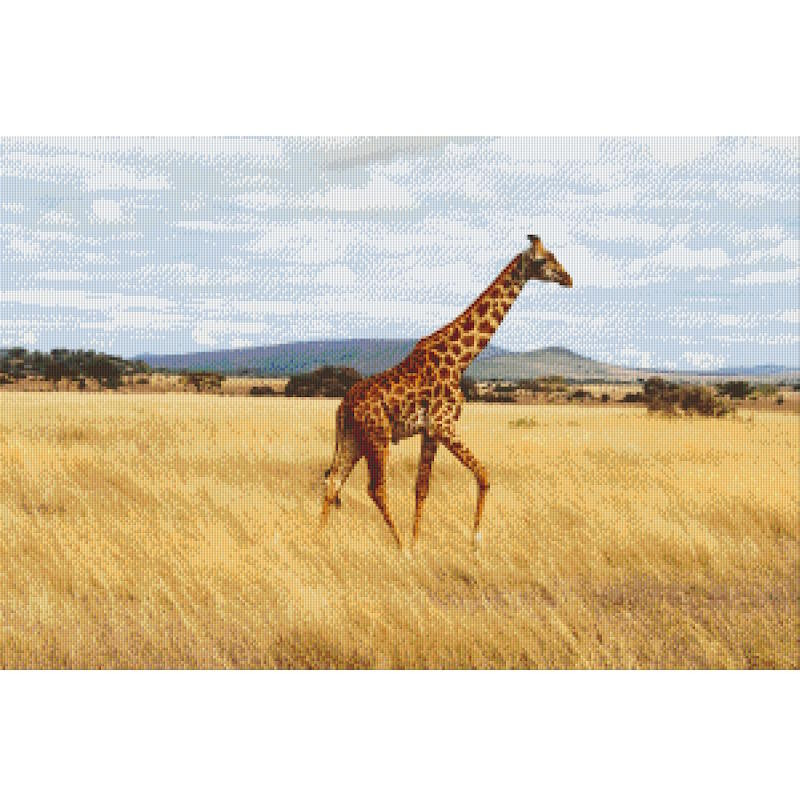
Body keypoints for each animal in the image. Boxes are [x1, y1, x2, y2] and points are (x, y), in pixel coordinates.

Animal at [320, 235, 573, 547]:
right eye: (543, 259)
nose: (568, 278)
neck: (460, 360)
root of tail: (343, 406)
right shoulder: (444, 425)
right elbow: (483, 475)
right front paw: (474, 542)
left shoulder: (430, 431)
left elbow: (421, 487)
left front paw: (418, 543)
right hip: (378, 436)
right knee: (375, 488)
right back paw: (399, 546)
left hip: (352, 438)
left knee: (333, 481)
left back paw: (319, 539)